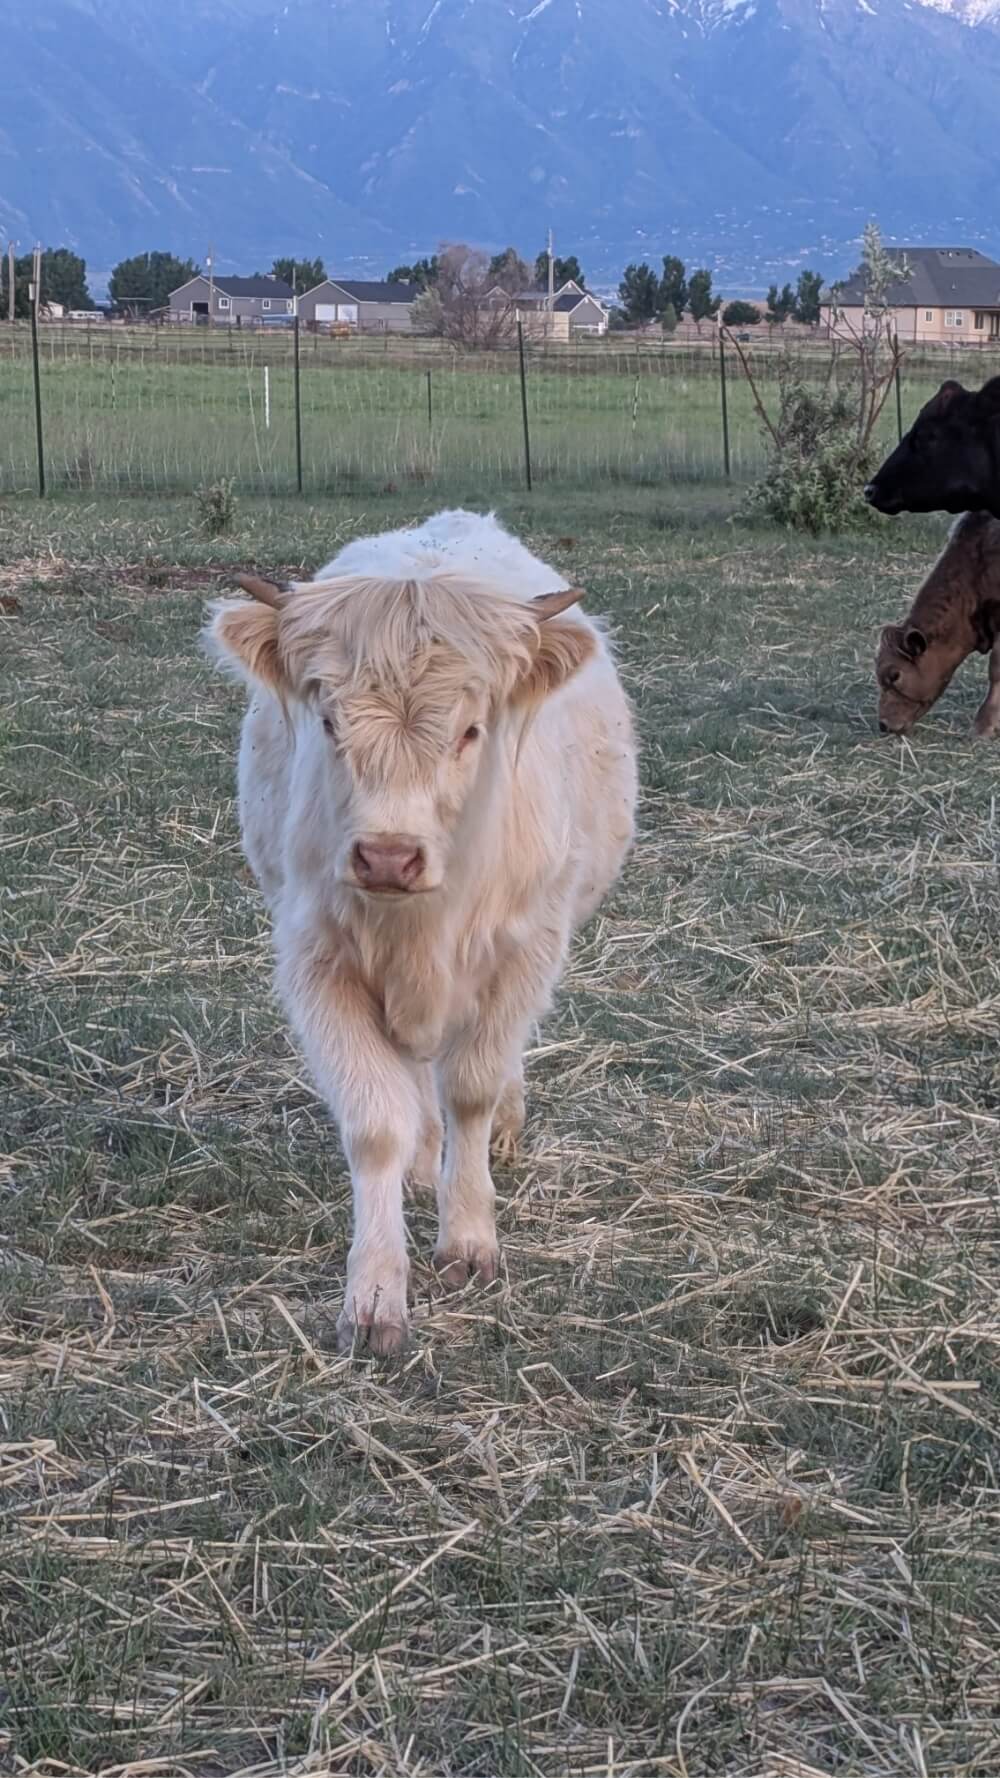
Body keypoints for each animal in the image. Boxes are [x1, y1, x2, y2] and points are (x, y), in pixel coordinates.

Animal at [207, 511, 637, 1354]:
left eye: (471, 730)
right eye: (329, 722)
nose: (387, 856)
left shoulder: (524, 950)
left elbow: (471, 1087)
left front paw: (468, 1236)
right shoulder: (319, 963)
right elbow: (376, 1123)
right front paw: (375, 1293)